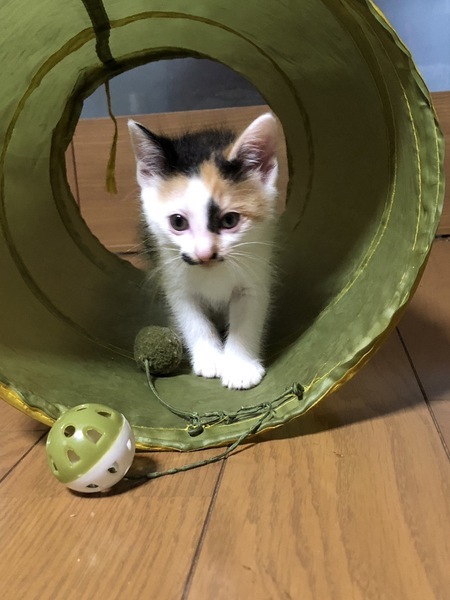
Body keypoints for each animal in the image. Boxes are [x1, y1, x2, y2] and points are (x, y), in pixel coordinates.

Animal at [128, 112, 279, 389]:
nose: (204, 254)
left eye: (230, 220)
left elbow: (247, 316)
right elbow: (192, 319)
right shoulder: (173, 278)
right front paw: (211, 359)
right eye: (178, 222)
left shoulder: (256, 270)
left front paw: (240, 367)